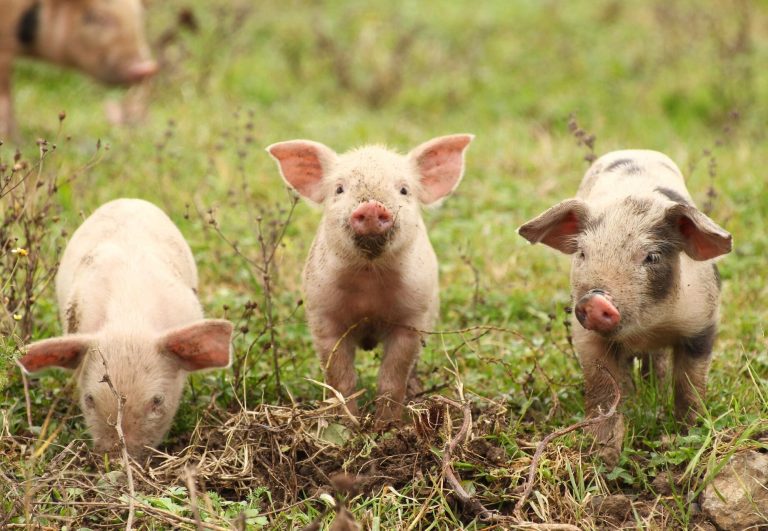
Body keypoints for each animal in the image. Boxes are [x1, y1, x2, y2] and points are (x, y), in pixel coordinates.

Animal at [267, 134, 474, 426]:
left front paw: (387, 427)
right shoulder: (323, 316)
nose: (372, 206)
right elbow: (341, 379)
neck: (369, 283)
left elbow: (391, 379)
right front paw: (348, 425)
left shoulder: (412, 319)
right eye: (339, 189)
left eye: (404, 190)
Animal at [518, 150, 732, 466]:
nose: (595, 299)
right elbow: (603, 392)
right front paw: (603, 456)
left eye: (652, 256)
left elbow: (690, 385)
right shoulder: (586, 337)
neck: (647, 327)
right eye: (583, 253)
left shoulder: (702, 322)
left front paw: (688, 434)